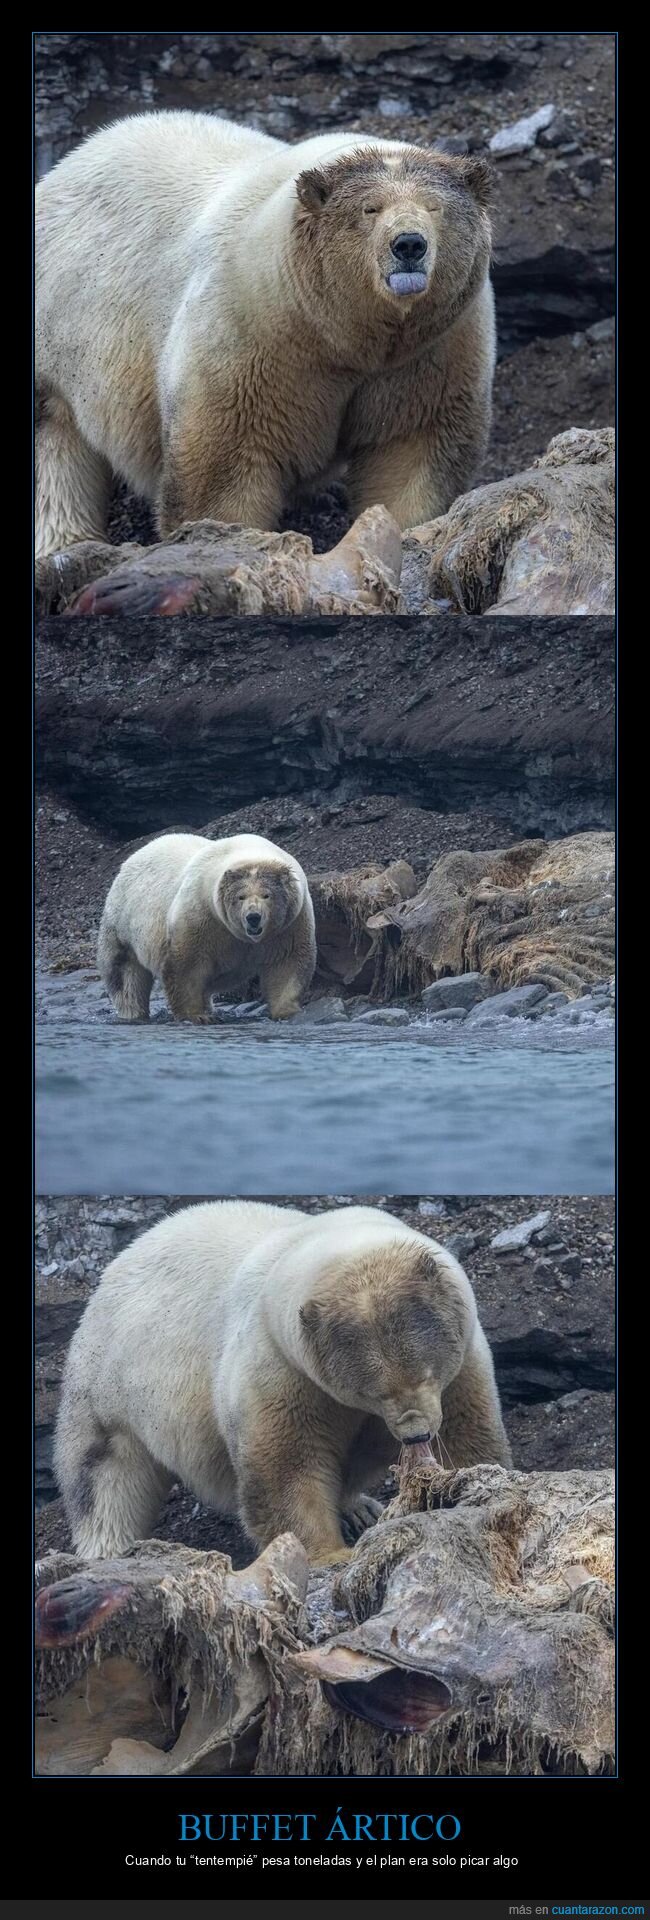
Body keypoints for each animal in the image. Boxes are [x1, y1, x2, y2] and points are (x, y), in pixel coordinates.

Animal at [35, 110, 495, 556]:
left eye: (435, 207)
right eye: (370, 209)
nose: (409, 245)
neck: (341, 336)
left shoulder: (433, 350)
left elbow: (413, 447)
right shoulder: (250, 331)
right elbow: (226, 463)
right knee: (54, 445)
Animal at [53, 1199, 512, 1564]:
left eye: (428, 1373)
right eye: (374, 1392)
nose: (416, 1434)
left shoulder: (464, 1362)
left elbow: (466, 1437)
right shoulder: (280, 1368)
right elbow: (287, 1466)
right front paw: (329, 1553)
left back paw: (358, 1506)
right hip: (108, 1381)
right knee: (104, 1475)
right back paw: (108, 1551)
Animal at [97, 832, 316, 1023]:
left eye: (266, 895)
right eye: (241, 896)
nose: (253, 917)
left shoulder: (290, 923)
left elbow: (287, 963)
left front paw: (287, 1011)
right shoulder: (201, 913)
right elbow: (187, 966)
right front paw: (197, 1016)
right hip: (123, 925)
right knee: (126, 978)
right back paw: (133, 1013)